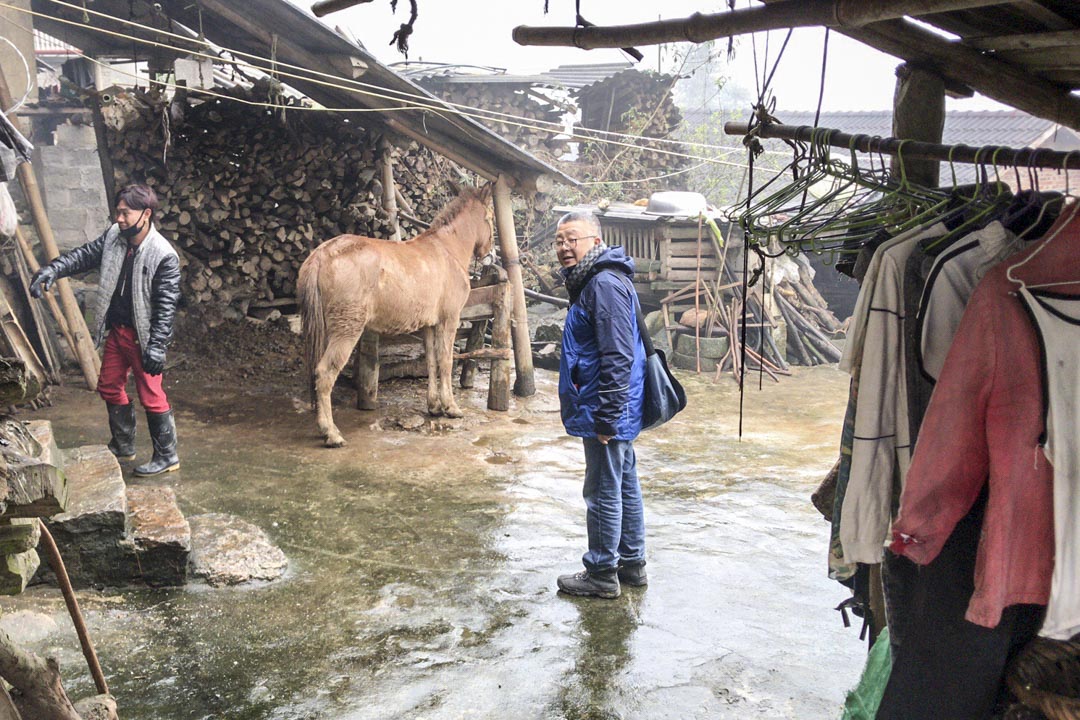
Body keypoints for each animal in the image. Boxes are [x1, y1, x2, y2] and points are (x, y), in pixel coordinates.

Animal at [298, 184, 494, 444]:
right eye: (490, 218)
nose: (489, 253)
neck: (447, 249)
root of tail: (322, 254)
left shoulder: (430, 325)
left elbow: (431, 362)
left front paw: (434, 406)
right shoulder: (449, 320)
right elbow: (446, 360)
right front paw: (451, 407)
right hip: (346, 330)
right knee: (325, 373)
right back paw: (331, 432)